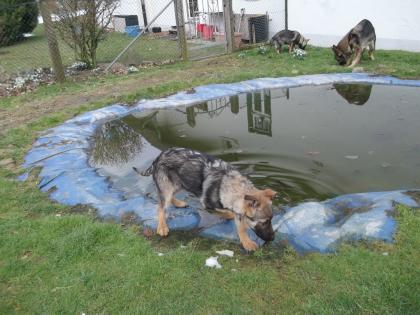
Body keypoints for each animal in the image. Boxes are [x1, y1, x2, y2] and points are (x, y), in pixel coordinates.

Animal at [135, 148, 278, 252]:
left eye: (271, 220)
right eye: (265, 222)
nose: (273, 238)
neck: (227, 184)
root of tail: (158, 157)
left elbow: (239, 221)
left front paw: (245, 240)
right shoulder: (207, 205)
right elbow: (232, 217)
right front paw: (246, 241)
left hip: (179, 183)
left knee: (168, 199)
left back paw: (179, 203)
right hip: (168, 188)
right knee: (160, 207)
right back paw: (162, 227)